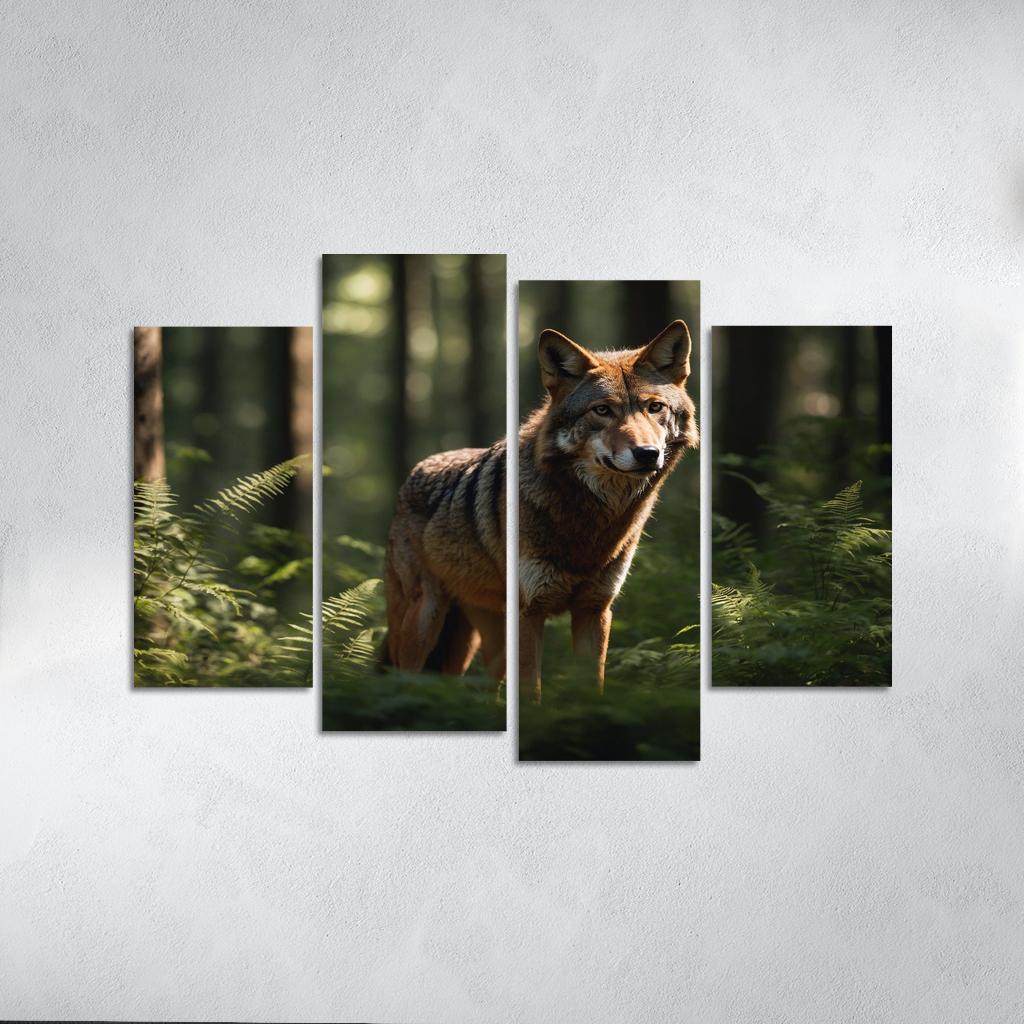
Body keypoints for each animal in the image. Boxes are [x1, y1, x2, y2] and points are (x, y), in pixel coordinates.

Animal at [383, 320, 697, 700]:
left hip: (480, 641)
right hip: (424, 621)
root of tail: (414, 473)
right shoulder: (528, 612)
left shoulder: (595, 610)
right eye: (602, 410)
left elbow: (592, 687)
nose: (647, 454)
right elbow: (531, 693)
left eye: (654, 407)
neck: (589, 526)